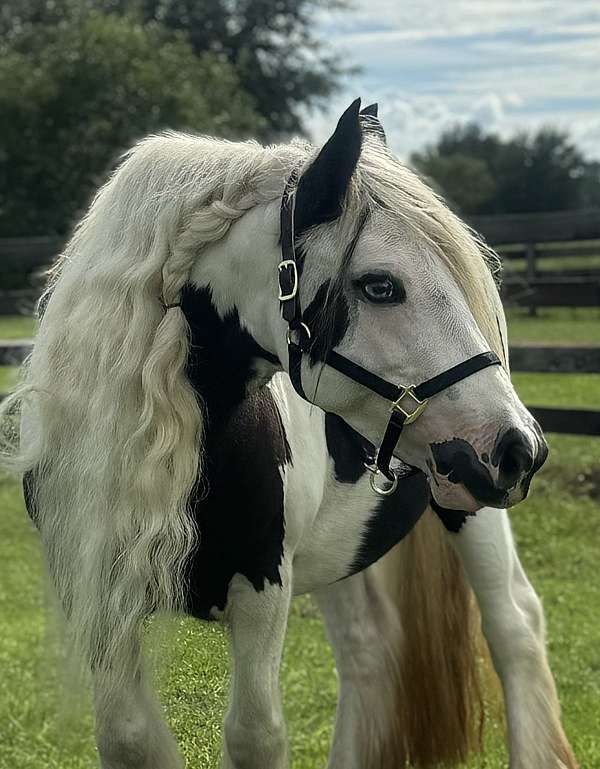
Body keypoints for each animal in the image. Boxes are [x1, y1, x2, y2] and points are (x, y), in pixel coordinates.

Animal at [0, 99, 577, 769]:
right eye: (381, 285)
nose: (519, 450)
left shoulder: (263, 592)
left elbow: (256, 734)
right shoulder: (96, 596)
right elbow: (129, 734)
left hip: (471, 509)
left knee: (515, 629)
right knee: (368, 652)